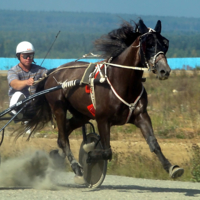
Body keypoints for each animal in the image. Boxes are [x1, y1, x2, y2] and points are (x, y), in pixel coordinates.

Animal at [23, 19, 184, 184]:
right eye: (149, 44)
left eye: (165, 44)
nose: (164, 70)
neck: (121, 81)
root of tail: (52, 72)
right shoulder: (103, 119)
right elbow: (107, 151)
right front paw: (90, 156)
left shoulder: (141, 116)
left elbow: (154, 143)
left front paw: (171, 168)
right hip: (59, 108)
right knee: (63, 137)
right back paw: (75, 166)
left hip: (81, 114)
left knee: (65, 131)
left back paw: (58, 155)